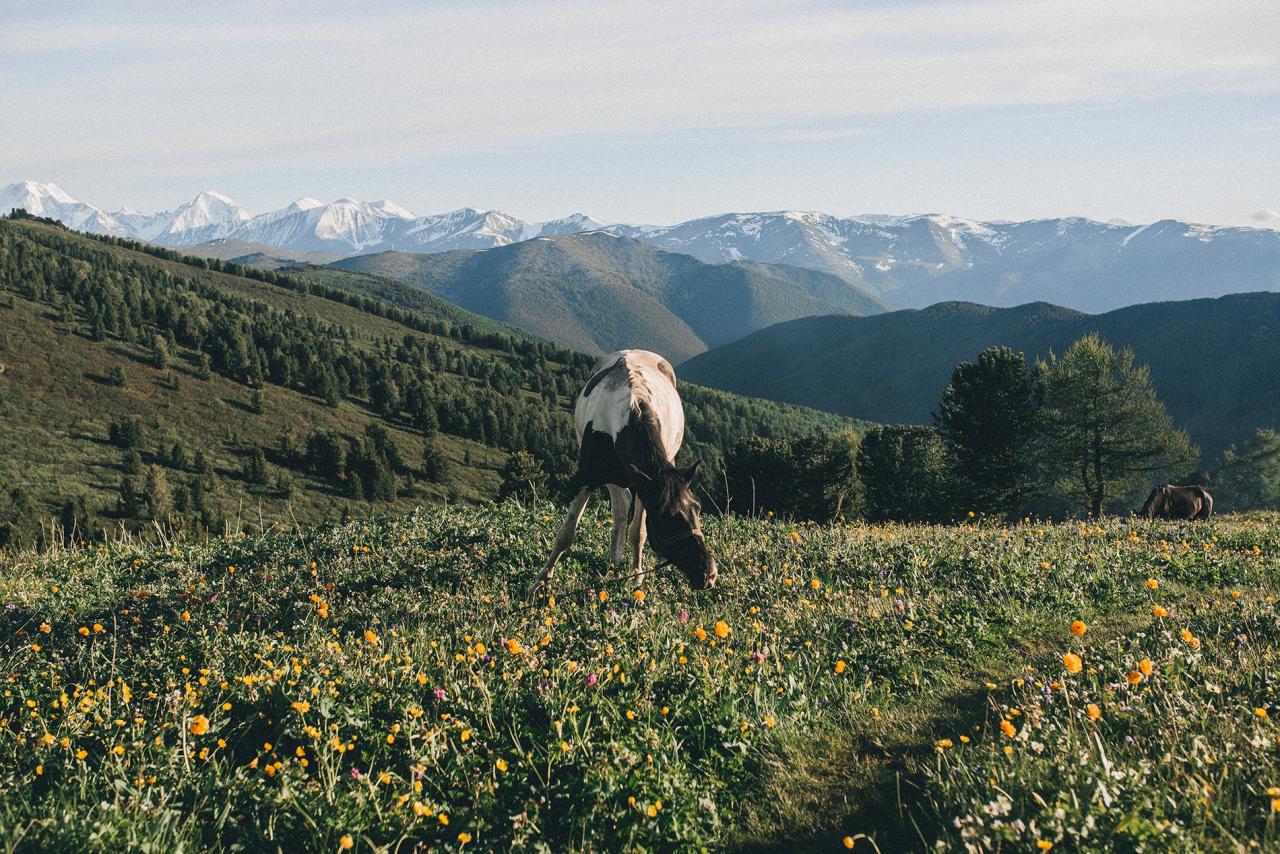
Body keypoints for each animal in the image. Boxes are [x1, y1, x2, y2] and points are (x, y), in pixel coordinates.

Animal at [524, 350, 716, 599]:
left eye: (698, 508)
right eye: (666, 516)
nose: (708, 573)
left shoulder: (645, 486)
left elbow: (639, 533)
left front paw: (637, 577)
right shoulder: (586, 477)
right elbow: (566, 534)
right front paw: (539, 582)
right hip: (613, 477)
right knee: (621, 505)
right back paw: (614, 556)